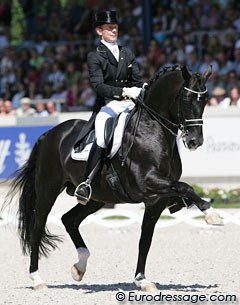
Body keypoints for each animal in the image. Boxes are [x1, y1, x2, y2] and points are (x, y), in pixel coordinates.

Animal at [3, 64, 222, 290]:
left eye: (205, 100)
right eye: (187, 99)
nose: (195, 141)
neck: (153, 128)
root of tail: (51, 133)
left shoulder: (156, 200)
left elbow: (145, 240)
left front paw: (141, 280)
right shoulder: (147, 183)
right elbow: (186, 186)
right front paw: (211, 214)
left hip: (96, 198)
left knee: (69, 219)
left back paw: (79, 267)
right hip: (48, 189)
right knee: (38, 225)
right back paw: (37, 279)